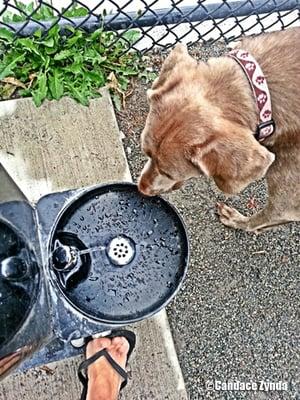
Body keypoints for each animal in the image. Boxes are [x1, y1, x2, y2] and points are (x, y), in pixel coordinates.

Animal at [138, 28, 300, 233]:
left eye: (168, 174)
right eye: (146, 153)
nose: (140, 188)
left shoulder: (288, 200)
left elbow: (266, 218)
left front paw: (237, 220)